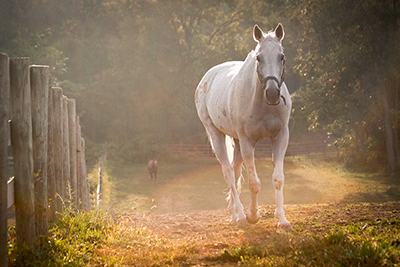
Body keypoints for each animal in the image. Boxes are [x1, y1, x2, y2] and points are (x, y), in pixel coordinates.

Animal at [195, 24, 292, 231]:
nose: (273, 93)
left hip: (236, 140)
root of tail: (207, 77)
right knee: (229, 173)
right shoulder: (248, 142)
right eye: (259, 58)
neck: (262, 103)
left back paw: (234, 214)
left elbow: (278, 179)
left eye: (281, 56)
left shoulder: (280, 137)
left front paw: (282, 219)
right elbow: (254, 183)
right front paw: (253, 215)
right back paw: (239, 216)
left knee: (236, 171)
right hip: (216, 135)